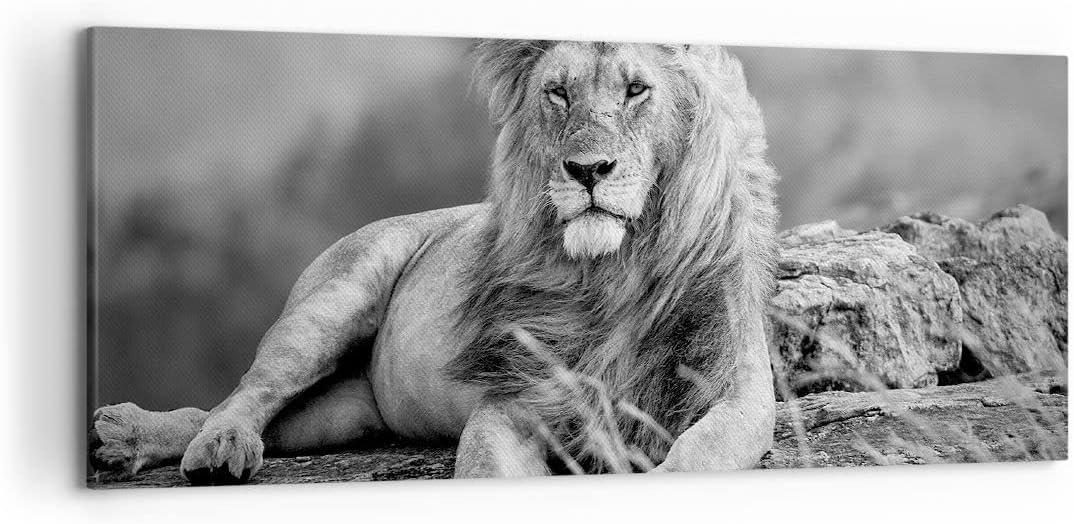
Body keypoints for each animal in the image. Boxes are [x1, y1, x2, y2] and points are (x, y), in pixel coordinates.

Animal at [89, 39, 779, 484]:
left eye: (637, 90)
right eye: (557, 94)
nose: (587, 170)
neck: (617, 271)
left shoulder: (739, 395)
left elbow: (696, 458)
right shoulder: (515, 401)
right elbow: (486, 468)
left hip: (347, 415)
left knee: (249, 415)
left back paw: (129, 438)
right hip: (331, 304)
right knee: (246, 393)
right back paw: (203, 445)